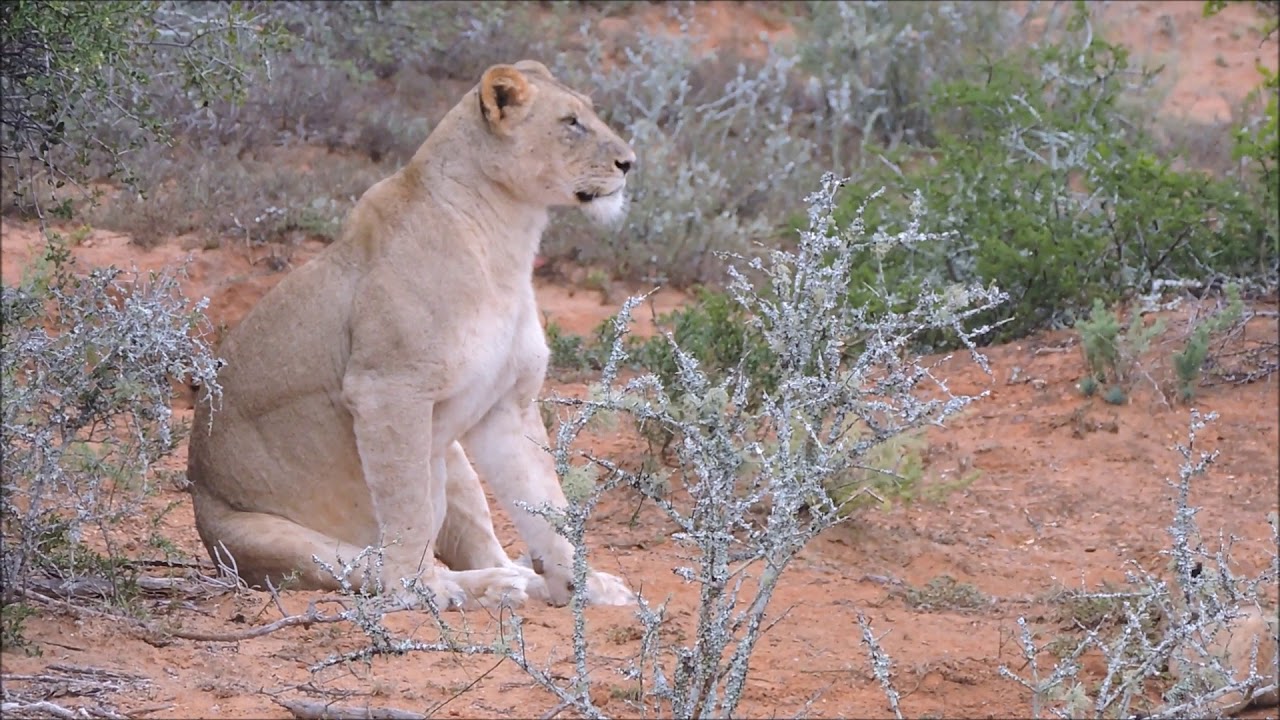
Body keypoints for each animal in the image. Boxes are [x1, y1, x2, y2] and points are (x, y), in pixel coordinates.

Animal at [187, 60, 637, 610]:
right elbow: (409, 507)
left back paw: (517, 581)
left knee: (480, 544)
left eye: (590, 112)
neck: (507, 238)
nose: (629, 162)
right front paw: (419, 587)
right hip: (274, 540)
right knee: (368, 567)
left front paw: (586, 585)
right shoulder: (386, 390)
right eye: (570, 122)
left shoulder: (507, 402)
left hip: (455, 459)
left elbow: (546, 501)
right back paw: (476, 587)